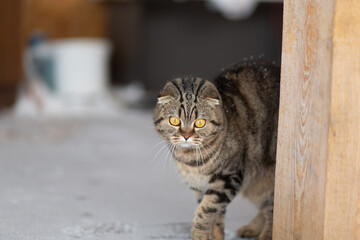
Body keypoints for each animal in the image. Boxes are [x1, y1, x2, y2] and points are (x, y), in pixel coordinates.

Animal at [153, 60, 280, 240]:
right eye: (174, 120)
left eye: (200, 123)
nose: (186, 135)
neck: (190, 160)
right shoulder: (199, 186)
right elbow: (216, 215)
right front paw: (214, 235)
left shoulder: (227, 177)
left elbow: (207, 208)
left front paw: (199, 232)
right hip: (257, 187)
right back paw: (251, 228)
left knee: (272, 212)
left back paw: (264, 234)